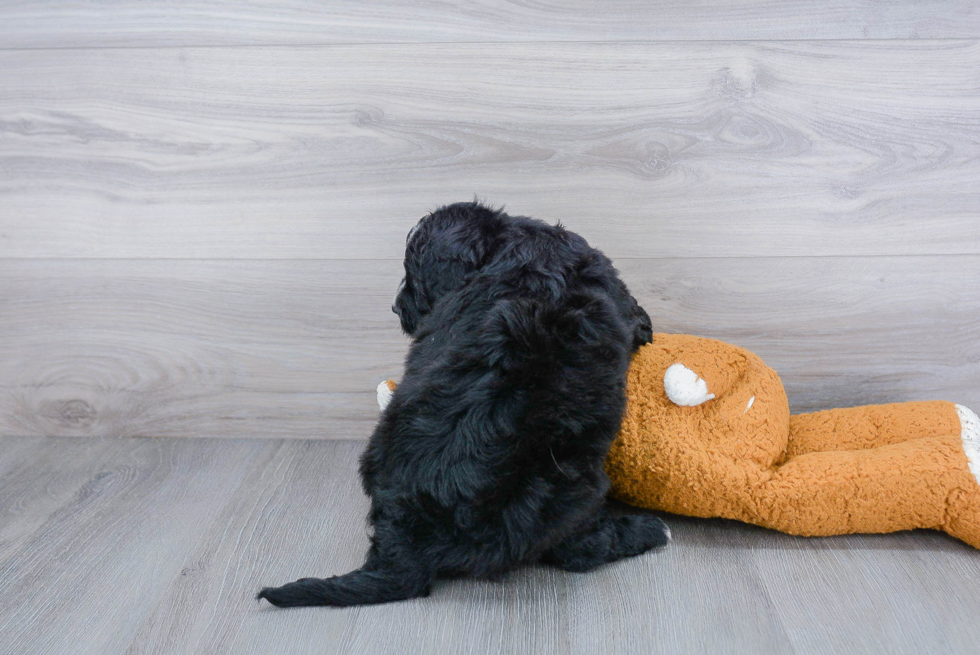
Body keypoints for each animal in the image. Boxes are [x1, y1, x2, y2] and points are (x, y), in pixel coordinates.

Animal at [256, 202, 668, 608]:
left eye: (412, 277)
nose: (396, 307)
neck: (512, 245)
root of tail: (404, 542)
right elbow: (633, 311)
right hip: (572, 490)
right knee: (578, 551)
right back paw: (647, 530)